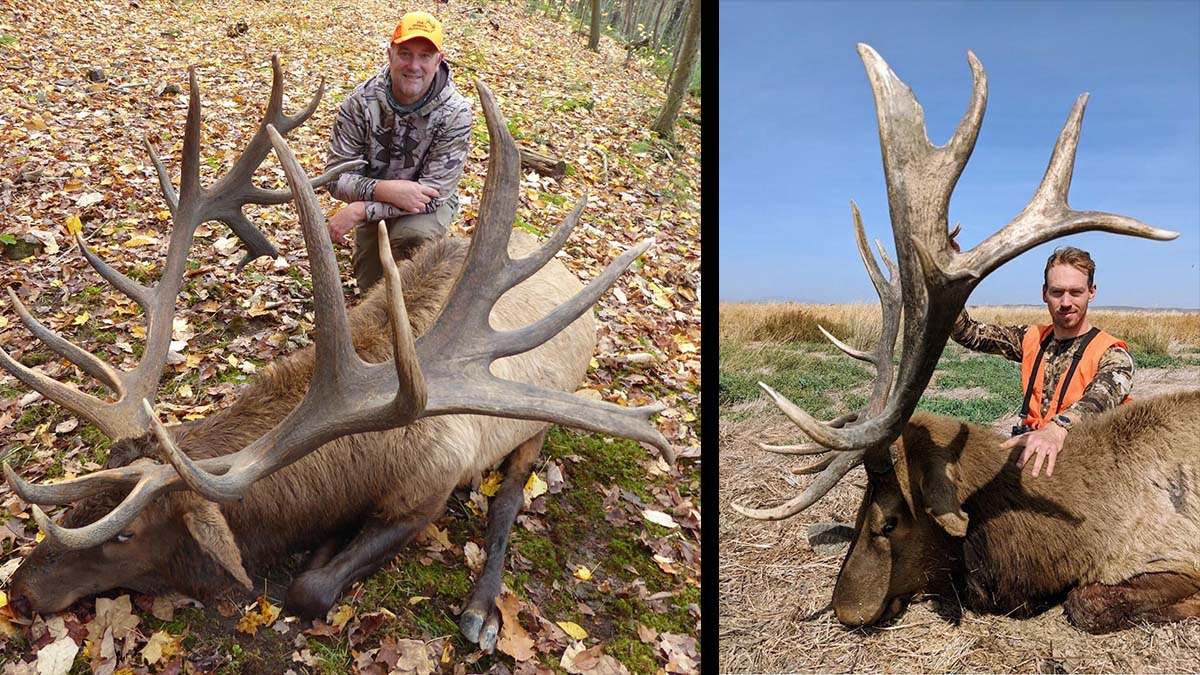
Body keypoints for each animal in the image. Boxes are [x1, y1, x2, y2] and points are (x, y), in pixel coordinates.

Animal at [0, 57, 675, 652]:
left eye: (127, 535)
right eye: (82, 496)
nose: (21, 589)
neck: (360, 465)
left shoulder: (430, 489)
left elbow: (310, 589)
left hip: (543, 413)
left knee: (512, 491)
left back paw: (483, 610)